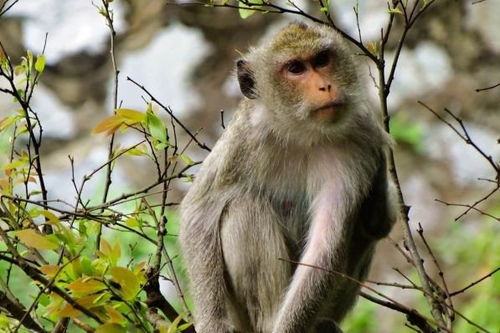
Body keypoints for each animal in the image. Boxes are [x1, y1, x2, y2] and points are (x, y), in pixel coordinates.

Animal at [178, 21, 396, 332]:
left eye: (321, 60)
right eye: (295, 68)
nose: (325, 86)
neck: (301, 133)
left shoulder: (360, 143)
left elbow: (323, 248)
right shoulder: (243, 139)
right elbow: (200, 212)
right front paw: (212, 323)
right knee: (244, 207)